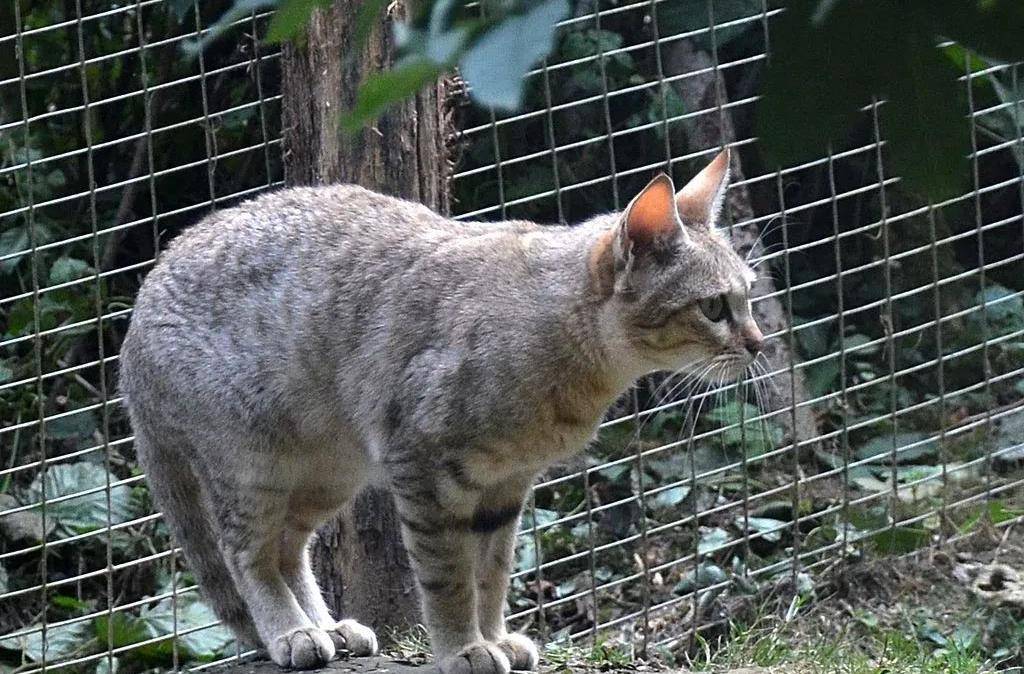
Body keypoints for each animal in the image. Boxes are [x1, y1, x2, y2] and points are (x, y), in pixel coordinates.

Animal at [117, 149, 761, 667]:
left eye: (749, 296)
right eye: (713, 308)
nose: (759, 342)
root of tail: (138, 311)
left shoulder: (506, 487)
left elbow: (492, 575)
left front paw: (493, 636)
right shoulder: (424, 469)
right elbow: (449, 578)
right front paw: (463, 648)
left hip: (328, 472)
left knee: (288, 547)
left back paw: (328, 627)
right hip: (253, 463)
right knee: (246, 551)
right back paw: (291, 633)